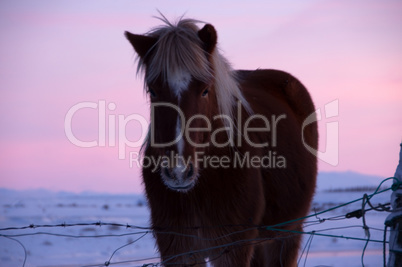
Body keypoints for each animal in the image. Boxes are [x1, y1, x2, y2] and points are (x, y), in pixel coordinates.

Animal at [124, 15, 318, 266]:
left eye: (205, 90)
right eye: (153, 91)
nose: (178, 172)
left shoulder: (233, 247)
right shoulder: (178, 249)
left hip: (286, 236)